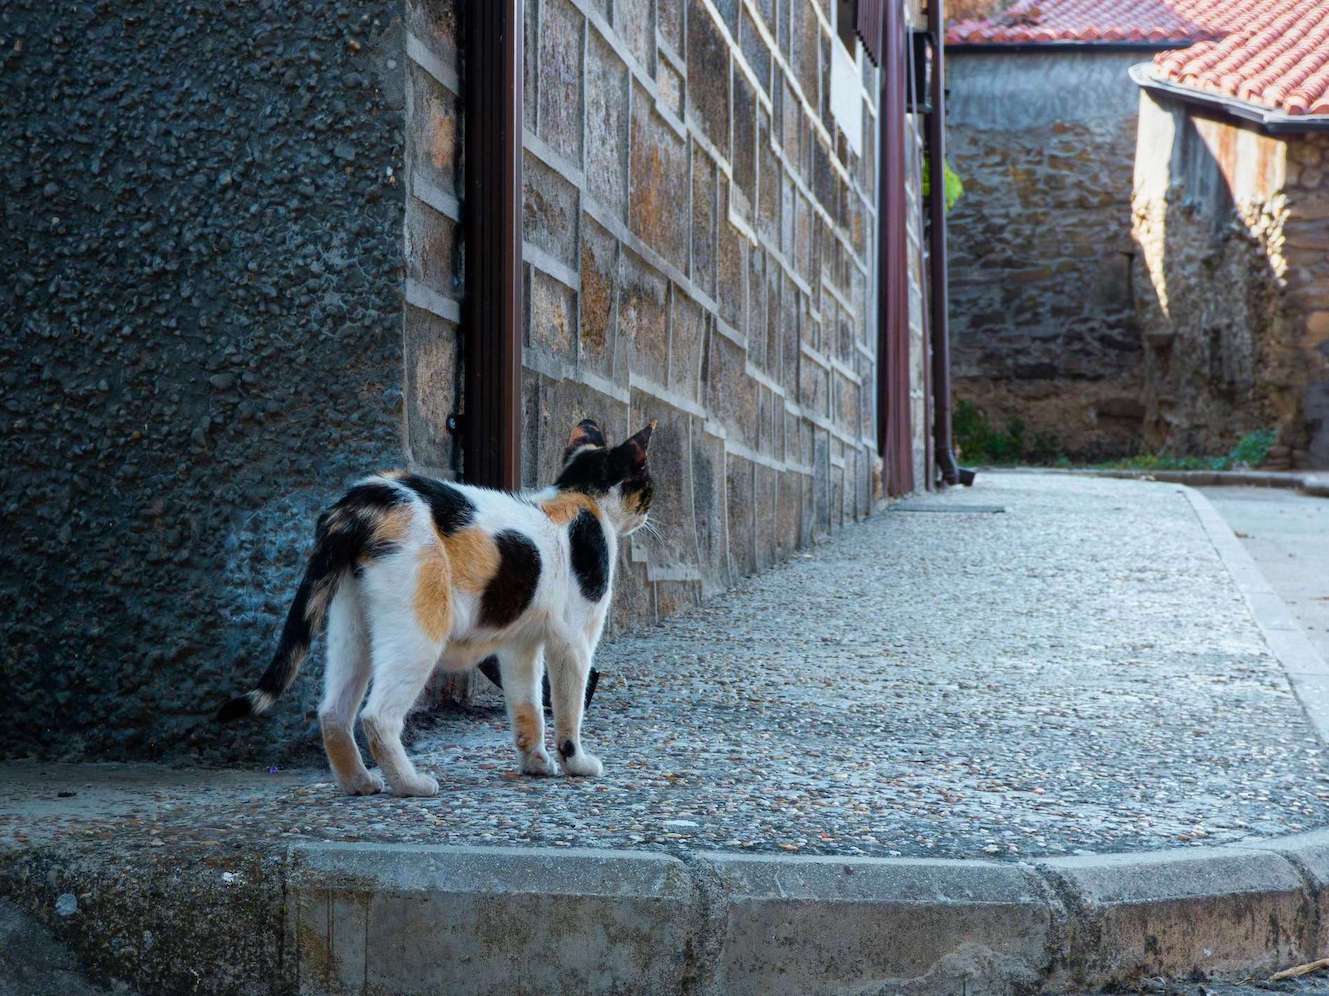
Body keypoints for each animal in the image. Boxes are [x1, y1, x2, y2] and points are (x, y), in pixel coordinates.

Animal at [217, 414, 653, 797]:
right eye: (647, 485)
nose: (649, 511)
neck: (579, 498)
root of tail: (362, 500)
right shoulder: (575, 641)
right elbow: (568, 708)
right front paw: (576, 763)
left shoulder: (520, 645)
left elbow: (527, 706)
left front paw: (535, 763)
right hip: (418, 634)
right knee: (377, 716)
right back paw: (410, 785)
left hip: (353, 630)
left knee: (333, 712)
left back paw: (359, 783)